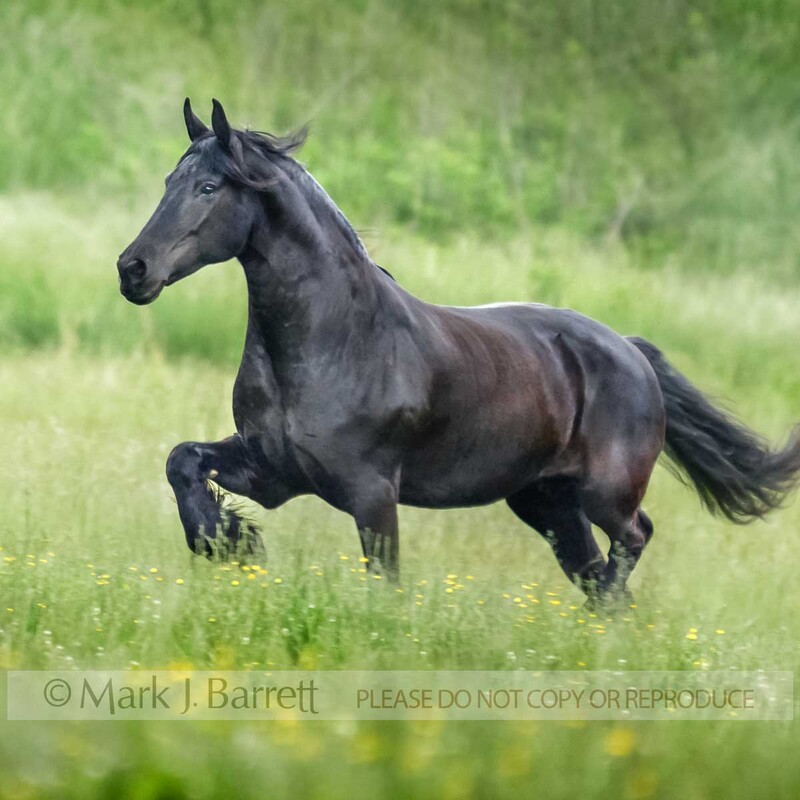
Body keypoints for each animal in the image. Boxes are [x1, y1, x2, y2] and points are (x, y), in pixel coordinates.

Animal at [117, 98, 800, 603]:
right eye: (172, 180)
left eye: (209, 186)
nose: (132, 270)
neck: (333, 343)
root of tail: (631, 354)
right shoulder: (275, 470)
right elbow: (183, 461)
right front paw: (227, 541)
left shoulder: (371, 494)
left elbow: (385, 583)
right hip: (546, 503)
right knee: (598, 575)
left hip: (605, 493)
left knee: (633, 539)